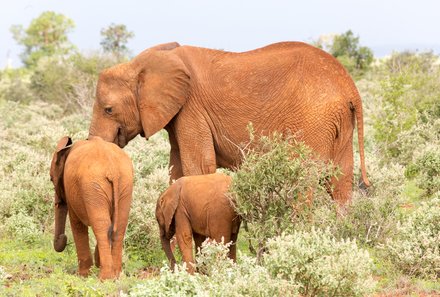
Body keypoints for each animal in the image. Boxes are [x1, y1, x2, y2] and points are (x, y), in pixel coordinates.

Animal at [49, 135, 132, 278]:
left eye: (51, 179)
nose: (63, 238)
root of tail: (113, 171)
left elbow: (76, 224)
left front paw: (83, 275)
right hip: (124, 184)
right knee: (119, 225)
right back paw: (117, 275)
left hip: (93, 187)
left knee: (101, 226)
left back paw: (105, 278)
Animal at [89, 41, 372, 204]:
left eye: (109, 109)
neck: (139, 64)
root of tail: (350, 87)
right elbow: (177, 169)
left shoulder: (191, 108)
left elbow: (198, 167)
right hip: (337, 122)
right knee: (340, 181)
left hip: (314, 118)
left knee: (305, 178)